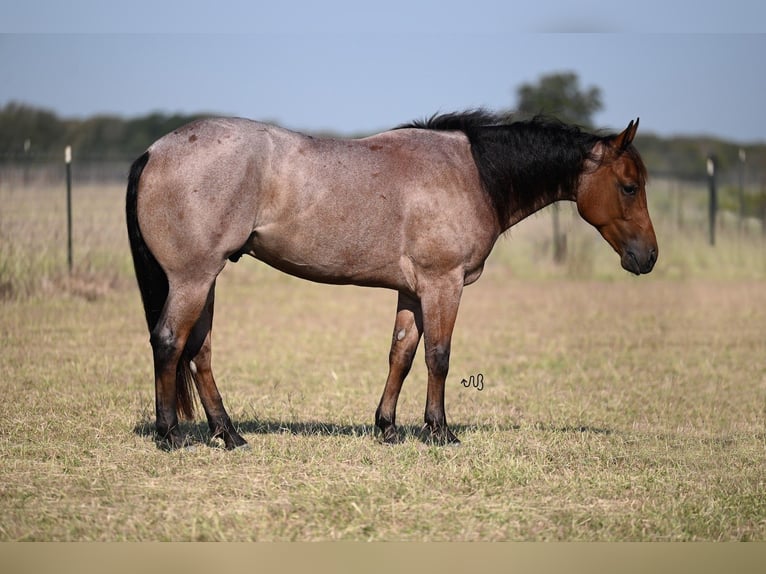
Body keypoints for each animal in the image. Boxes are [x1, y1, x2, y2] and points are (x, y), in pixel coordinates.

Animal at [126, 110, 660, 452]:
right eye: (629, 187)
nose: (649, 257)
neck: (470, 173)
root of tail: (154, 150)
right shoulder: (443, 284)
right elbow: (439, 356)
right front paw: (439, 432)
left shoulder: (412, 291)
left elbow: (401, 354)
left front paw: (386, 427)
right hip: (193, 278)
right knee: (170, 341)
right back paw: (170, 435)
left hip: (207, 279)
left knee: (200, 351)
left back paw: (229, 435)